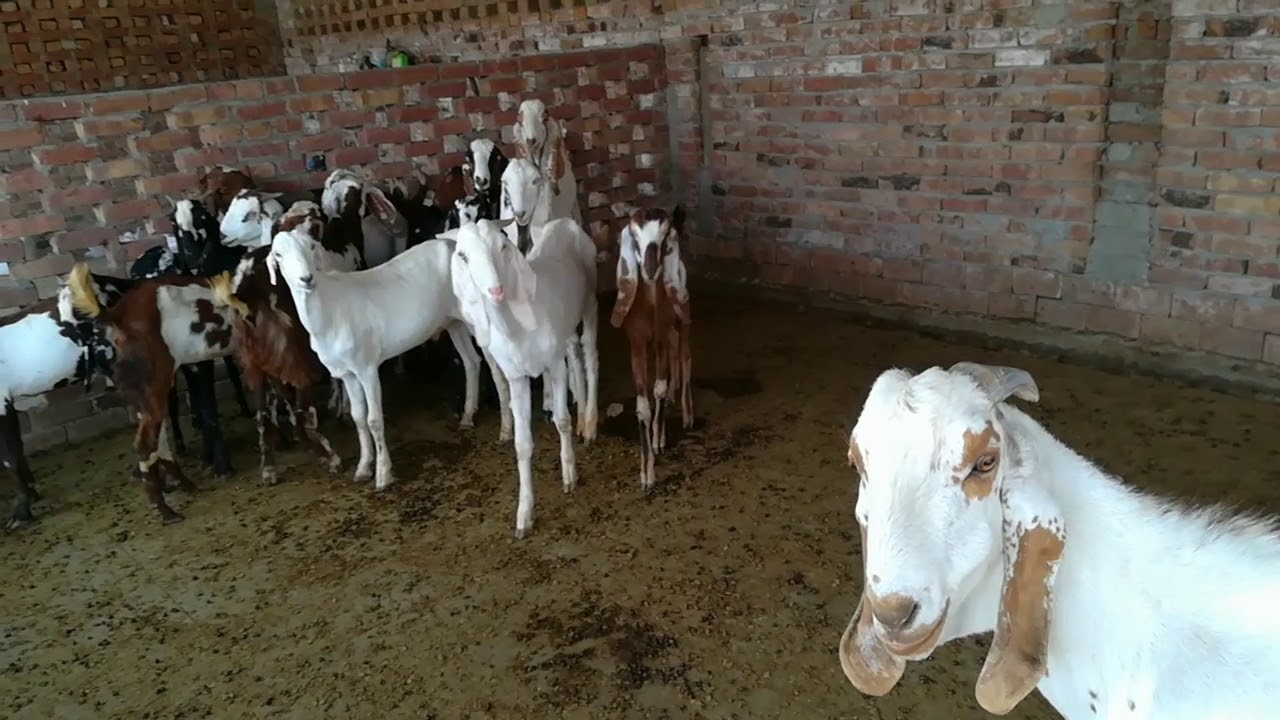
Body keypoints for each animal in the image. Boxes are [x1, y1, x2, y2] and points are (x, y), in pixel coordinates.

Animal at [66, 262, 248, 523]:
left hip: (147, 389)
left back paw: (182, 484)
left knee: (157, 437)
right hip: (155, 381)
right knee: (145, 442)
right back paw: (165, 510)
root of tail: (118, 314)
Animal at [264, 224, 492, 492]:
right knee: (471, 361)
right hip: (452, 321)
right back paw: (467, 416)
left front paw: (383, 475)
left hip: (474, 315)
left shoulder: (367, 367)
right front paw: (363, 468)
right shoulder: (348, 373)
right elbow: (359, 418)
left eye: (310, 246)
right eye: (278, 255)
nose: (306, 279)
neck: (330, 309)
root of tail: (455, 246)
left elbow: (373, 420)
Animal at [439, 216, 599, 539]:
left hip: (590, 300)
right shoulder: (516, 377)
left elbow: (561, 421)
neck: (517, 327)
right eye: (462, 255)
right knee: (575, 353)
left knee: (590, 354)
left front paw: (569, 475)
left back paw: (589, 423)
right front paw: (524, 515)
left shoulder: (553, 365)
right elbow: (522, 444)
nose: (496, 291)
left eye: (503, 245)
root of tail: (564, 221)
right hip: (564, 328)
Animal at [610, 205, 694, 491]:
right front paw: (646, 475)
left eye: (665, 234)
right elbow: (643, 406)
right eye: (634, 237)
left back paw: (686, 413)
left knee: (684, 355)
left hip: (681, 317)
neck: (649, 308)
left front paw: (658, 439)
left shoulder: (659, 337)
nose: (649, 269)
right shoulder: (636, 343)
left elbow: (658, 388)